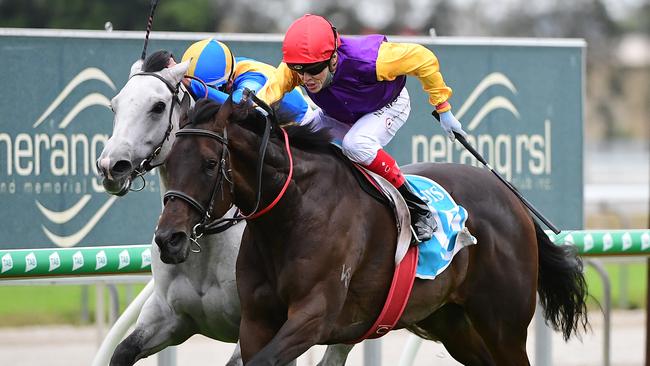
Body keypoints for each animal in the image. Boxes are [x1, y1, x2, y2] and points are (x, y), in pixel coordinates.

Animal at [94, 57, 352, 366]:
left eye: (157, 106)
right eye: (114, 106)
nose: (111, 166)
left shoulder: (262, 325)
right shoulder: (168, 317)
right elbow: (122, 351)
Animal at [154, 96, 584, 364]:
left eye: (210, 164)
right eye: (167, 161)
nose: (167, 239)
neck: (294, 212)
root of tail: (512, 199)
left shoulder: (313, 317)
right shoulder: (257, 321)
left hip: (503, 322)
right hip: (450, 321)